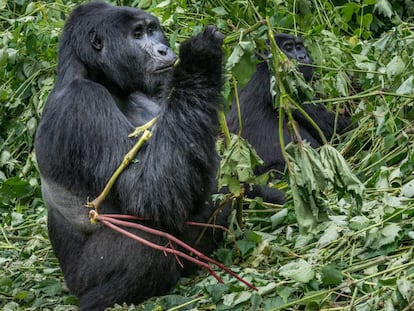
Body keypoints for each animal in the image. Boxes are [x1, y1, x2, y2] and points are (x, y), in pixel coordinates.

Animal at [36, 1, 226, 310]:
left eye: (152, 29)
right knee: (143, 240)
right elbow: (148, 191)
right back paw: (101, 299)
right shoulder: (82, 102)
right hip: (79, 279)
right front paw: (200, 60)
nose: (162, 49)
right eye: (137, 34)